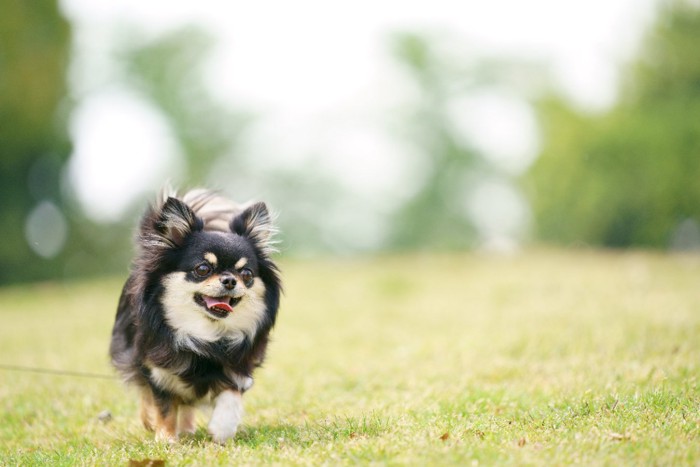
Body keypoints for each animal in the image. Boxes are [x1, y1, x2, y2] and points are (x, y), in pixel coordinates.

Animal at [109, 188, 282, 444]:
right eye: (202, 269)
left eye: (246, 274)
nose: (230, 280)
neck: (207, 336)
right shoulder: (157, 369)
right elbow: (164, 405)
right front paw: (166, 439)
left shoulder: (238, 366)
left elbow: (231, 395)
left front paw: (221, 429)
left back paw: (188, 428)